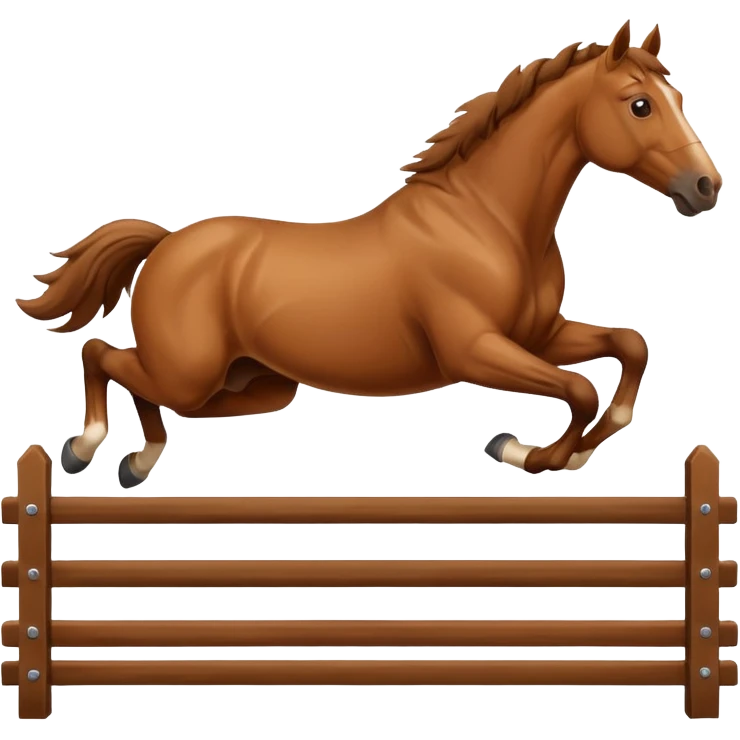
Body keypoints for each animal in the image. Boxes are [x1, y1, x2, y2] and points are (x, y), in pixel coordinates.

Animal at [16, 20, 721, 488]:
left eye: (679, 99)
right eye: (640, 104)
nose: (705, 187)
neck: (489, 222)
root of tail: (166, 242)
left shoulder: (539, 334)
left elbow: (628, 348)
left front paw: (555, 452)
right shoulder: (475, 350)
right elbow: (578, 388)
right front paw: (527, 452)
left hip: (255, 384)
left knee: (143, 381)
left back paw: (138, 462)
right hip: (191, 371)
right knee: (103, 356)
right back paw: (85, 450)